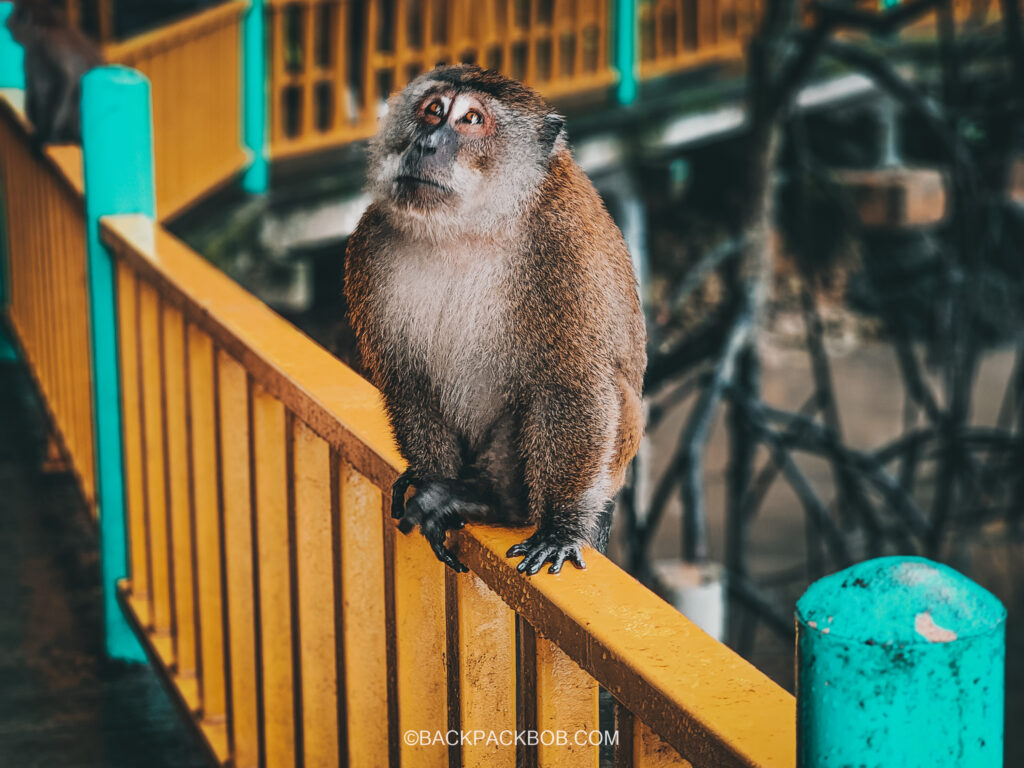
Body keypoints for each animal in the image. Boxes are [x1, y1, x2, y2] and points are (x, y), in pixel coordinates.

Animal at [5, 0, 103, 145]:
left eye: (14, 16)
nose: (6, 21)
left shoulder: (49, 44)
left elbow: (66, 79)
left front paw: (47, 135)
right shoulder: (32, 52)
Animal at [348, 66, 643, 573]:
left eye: (470, 119)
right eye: (433, 110)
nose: (426, 144)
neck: (469, 228)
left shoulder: (564, 249)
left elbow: (573, 387)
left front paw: (561, 527)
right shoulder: (372, 244)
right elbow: (409, 380)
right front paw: (433, 484)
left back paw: (496, 501)